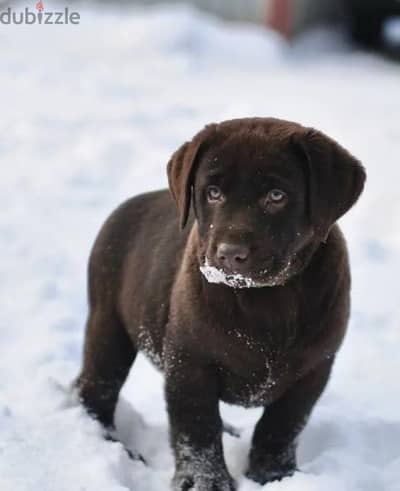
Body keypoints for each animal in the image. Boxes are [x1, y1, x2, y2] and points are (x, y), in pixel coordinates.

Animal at [75, 119, 366, 491]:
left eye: (276, 196)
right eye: (213, 193)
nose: (229, 254)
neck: (267, 298)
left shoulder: (314, 368)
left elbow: (282, 426)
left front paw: (273, 474)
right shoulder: (190, 362)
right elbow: (197, 426)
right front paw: (205, 480)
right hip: (108, 326)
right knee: (97, 389)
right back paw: (108, 441)